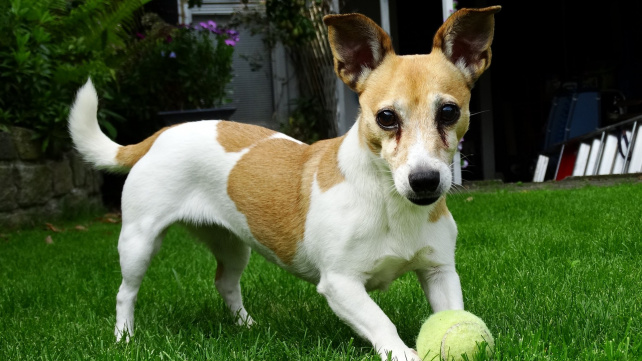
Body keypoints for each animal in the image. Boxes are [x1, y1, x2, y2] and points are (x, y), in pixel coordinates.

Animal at [67, 6, 498, 360]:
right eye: (386, 117)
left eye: (449, 112)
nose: (424, 181)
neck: (390, 202)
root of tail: (162, 133)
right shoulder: (340, 285)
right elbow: (382, 323)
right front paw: (404, 352)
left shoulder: (440, 272)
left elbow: (453, 311)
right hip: (138, 242)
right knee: (126, 293)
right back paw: (125, 338)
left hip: (232, 243)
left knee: (226, 283)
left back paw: (246, 326)